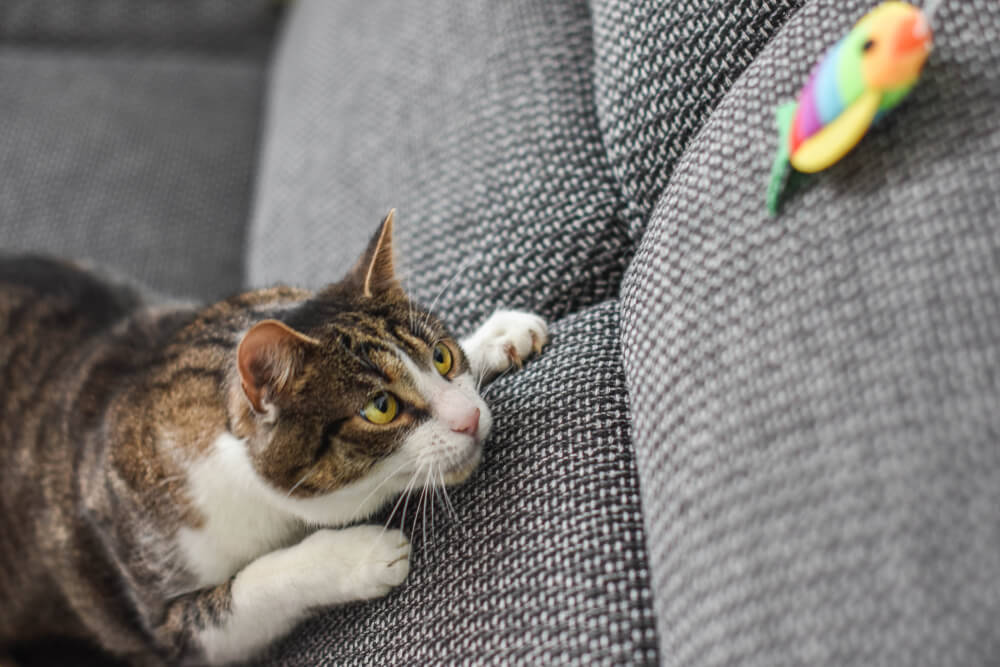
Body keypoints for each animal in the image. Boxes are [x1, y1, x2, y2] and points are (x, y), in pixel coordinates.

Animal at [0, 211, 548, 664]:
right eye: (381, 408)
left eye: (442, 356)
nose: (469, 419)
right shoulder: (166, 622)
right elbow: (247, 589)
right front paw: (359, 554)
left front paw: (497, 335)